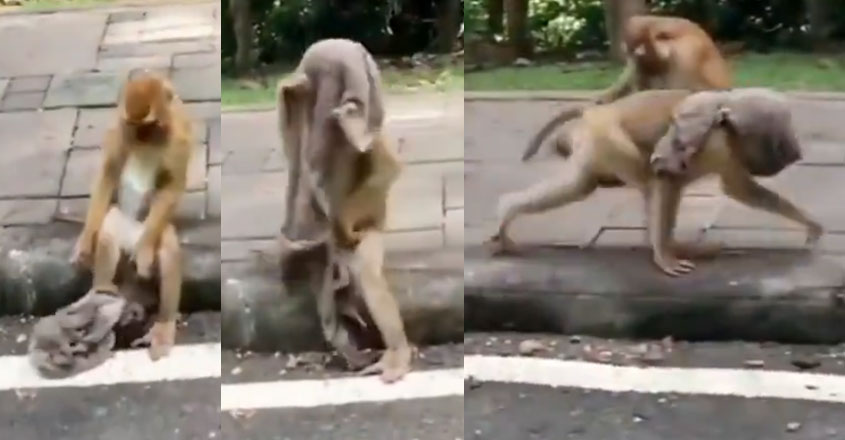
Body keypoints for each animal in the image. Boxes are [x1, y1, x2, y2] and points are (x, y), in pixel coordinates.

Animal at [70, 72, 192, 361]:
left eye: (149, 126)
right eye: (135, 127)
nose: (141, 137)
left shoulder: (180, 133)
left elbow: (173, 185)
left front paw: (146, 252)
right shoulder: (120, 126)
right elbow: (109, 171)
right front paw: (85, 241)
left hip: (147, 230)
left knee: (167, 245)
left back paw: (163, 325)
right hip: (122, 226)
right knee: (108, 229)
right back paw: (101, 293)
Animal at [491, 89, 822, 276]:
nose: (794, 151)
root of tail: (596, 110)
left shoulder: (728, 153)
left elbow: (738, 188)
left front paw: (810, 224)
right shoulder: (707, 139)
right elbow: (667, 175)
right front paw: (664, 255)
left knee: (584, 183)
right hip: (606, 136)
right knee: (646, 178)